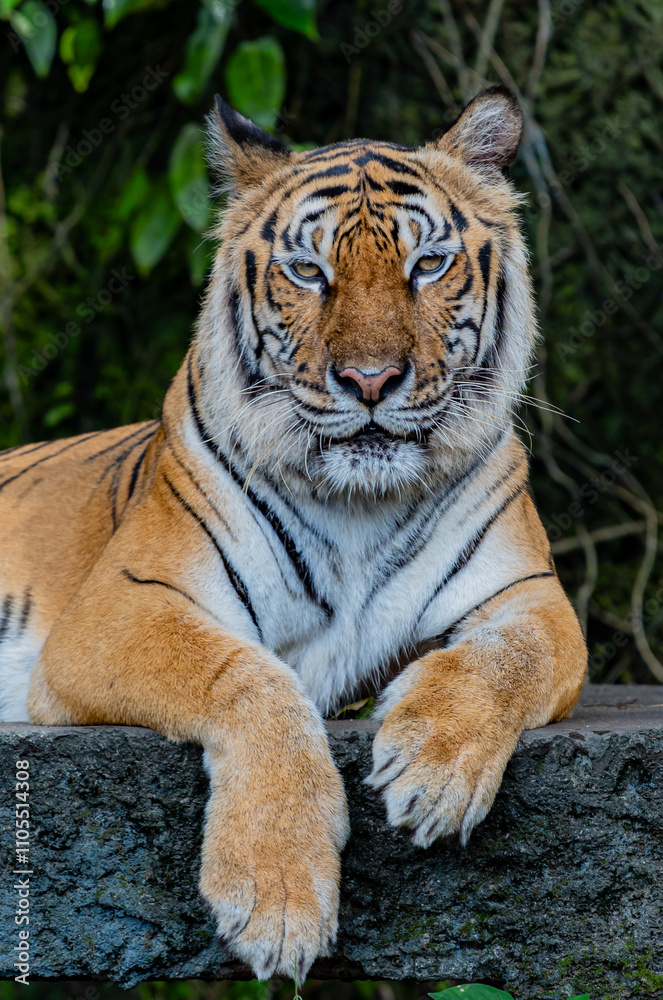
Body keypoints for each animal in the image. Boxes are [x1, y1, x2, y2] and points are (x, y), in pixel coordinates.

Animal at [0, 86, 586, 981]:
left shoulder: (531, 598)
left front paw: (436, 767)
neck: (358, 507)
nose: (371, 380)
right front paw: (276, 894)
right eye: (309, 271)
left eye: (427, 265)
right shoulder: (121, 607)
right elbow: (247, 676)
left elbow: (506, 659)